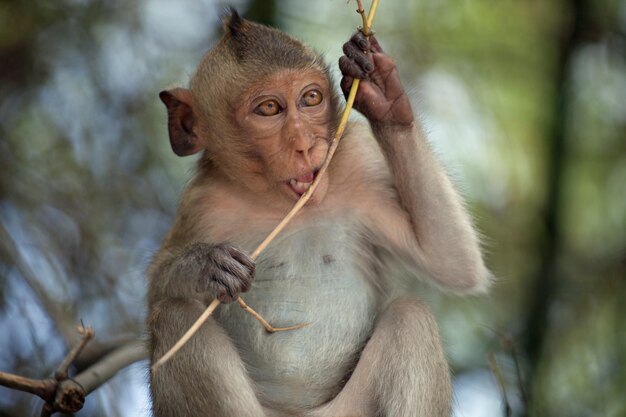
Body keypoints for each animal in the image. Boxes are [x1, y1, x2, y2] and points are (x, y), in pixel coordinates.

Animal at [146, 9, 488, 416]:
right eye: (269, 108)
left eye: (311, 98)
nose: (305, 144)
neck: (277, 202)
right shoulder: (201, 202)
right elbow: (154, 299)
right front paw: (207, 265)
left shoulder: (358, 161)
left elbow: (450, 261)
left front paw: (383, 93)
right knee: (175, 316)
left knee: (411, 317)